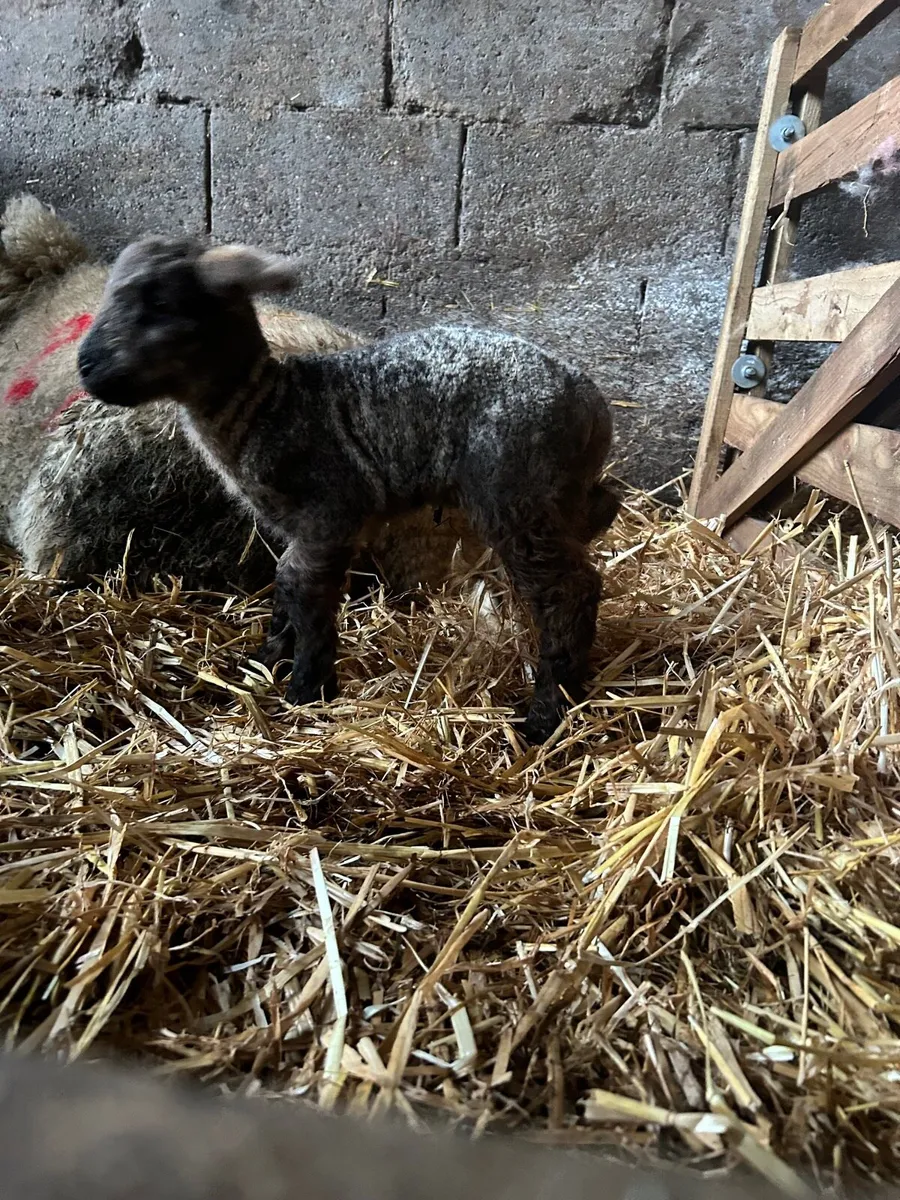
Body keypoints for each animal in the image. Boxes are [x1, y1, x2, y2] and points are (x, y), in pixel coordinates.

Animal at [78, 238, 620, 743]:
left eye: (161, 302)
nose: (87, 367)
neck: (265, 406)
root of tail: (590, 404)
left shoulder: (328, 514)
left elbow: (300, 586)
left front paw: (306, 689)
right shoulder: (307, 527)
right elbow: (285, 583)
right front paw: (269, 656)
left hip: (513, 490)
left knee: (568, 588)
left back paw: (546, 713)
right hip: (554, 491)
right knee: (597, 516)